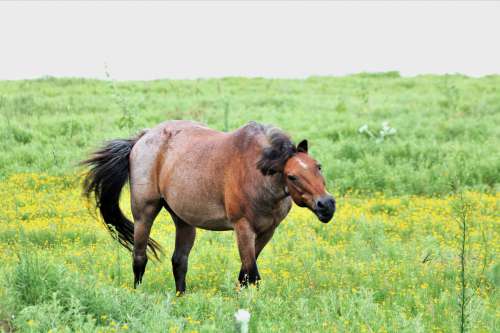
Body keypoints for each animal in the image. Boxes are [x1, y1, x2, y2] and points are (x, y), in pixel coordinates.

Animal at [82, 120, 336, 292]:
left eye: (318, 166)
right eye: (292, 176)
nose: (326, 205)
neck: (256, 173)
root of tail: (142, 139)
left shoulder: (267, 231)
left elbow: (245, 274)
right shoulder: (243, 229)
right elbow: (252, 274)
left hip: (183, 220)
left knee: (179, 261)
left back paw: (181, 297)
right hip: (144, 213)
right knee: (139, 257)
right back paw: (138, 294)